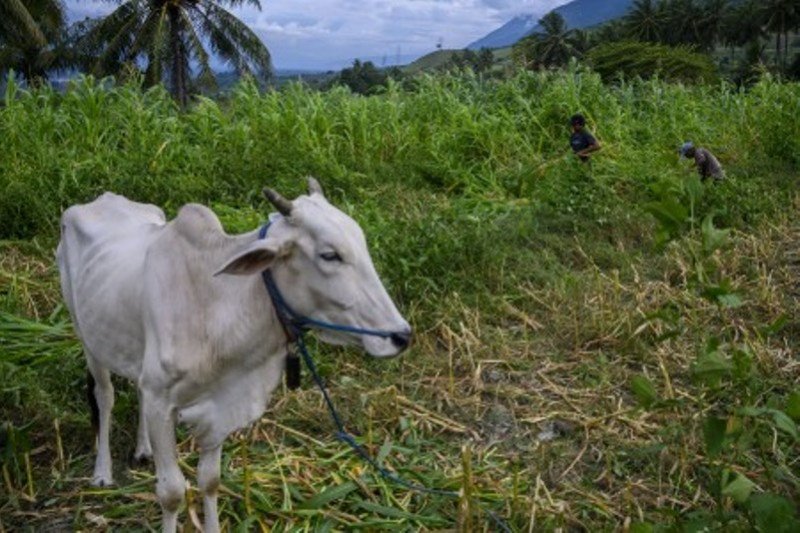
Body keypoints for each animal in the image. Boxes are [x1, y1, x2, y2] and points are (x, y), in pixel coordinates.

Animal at [54, 180, 412, 532]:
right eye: (330, 255)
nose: (401, 336)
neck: (217, 304)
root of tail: (102, 199)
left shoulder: (218, 406)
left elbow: (210, 481)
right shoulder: (161, 402)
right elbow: (171, 493)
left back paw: (144, 449)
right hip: (86, 335)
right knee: (105, 396)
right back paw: (102, 472)